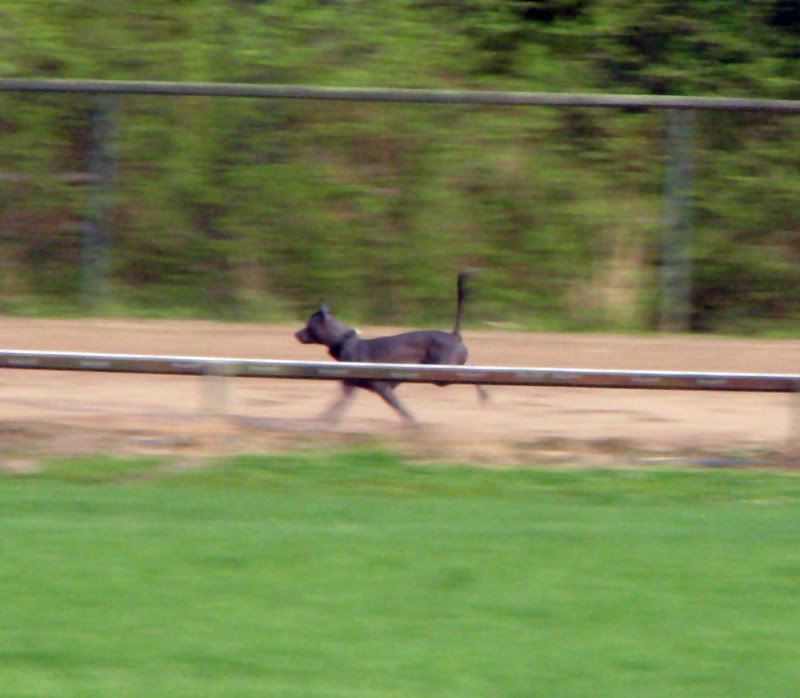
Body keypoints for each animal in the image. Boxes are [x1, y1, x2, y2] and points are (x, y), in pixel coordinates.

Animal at [296, 272, 488, 424]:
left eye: (309, 325)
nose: (295, 334)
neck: (344, 340)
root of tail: (454, 334)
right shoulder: (349, 386)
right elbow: (336, 405)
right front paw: (324, 420)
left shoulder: (382, 388)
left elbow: (399, 407)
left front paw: (413, 423)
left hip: (442, 372)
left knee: (472, 370)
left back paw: (483, 393)